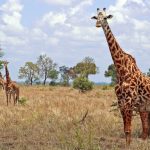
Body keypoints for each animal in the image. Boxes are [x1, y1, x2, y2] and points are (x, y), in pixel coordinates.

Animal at [91, 7, 150, 145]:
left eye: (105, 17)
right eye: (96, 17)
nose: (97, 24)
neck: (122, 70)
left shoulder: (129, 101)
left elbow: (128, 129)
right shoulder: (120, 101)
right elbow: (126, 130)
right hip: (144, 107)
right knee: (146, 129)